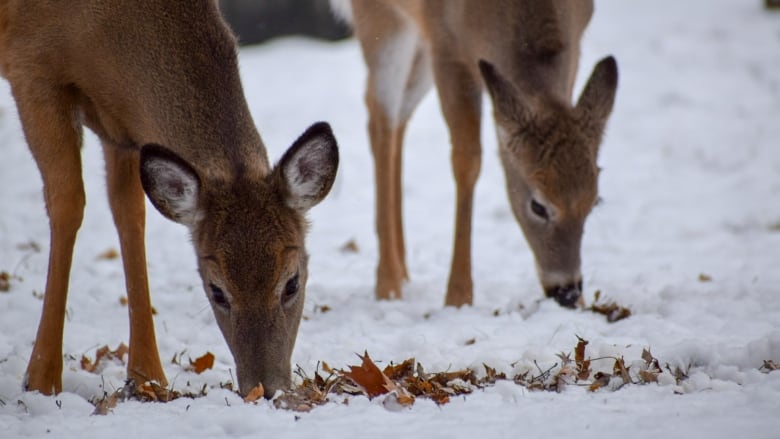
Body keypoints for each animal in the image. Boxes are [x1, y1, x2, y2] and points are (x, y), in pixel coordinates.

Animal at [1, 0, 340, 398]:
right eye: (216, 290)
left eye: (292, 283)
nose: (265, 390)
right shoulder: (30, 66)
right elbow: (67, 202)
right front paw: (40, 378)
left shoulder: (123, 128)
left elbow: (130, 214)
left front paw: (147, 378)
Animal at [332, 0, 620, 310]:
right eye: (538, 206)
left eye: (594, 201)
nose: (566, 292)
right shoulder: (445, 45)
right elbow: (467, 161)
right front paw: (458, 297)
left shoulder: (577, 40)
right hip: (382, 23)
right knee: (380, 118)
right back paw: (389, 285)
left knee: (399, 117)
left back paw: (403, 272)